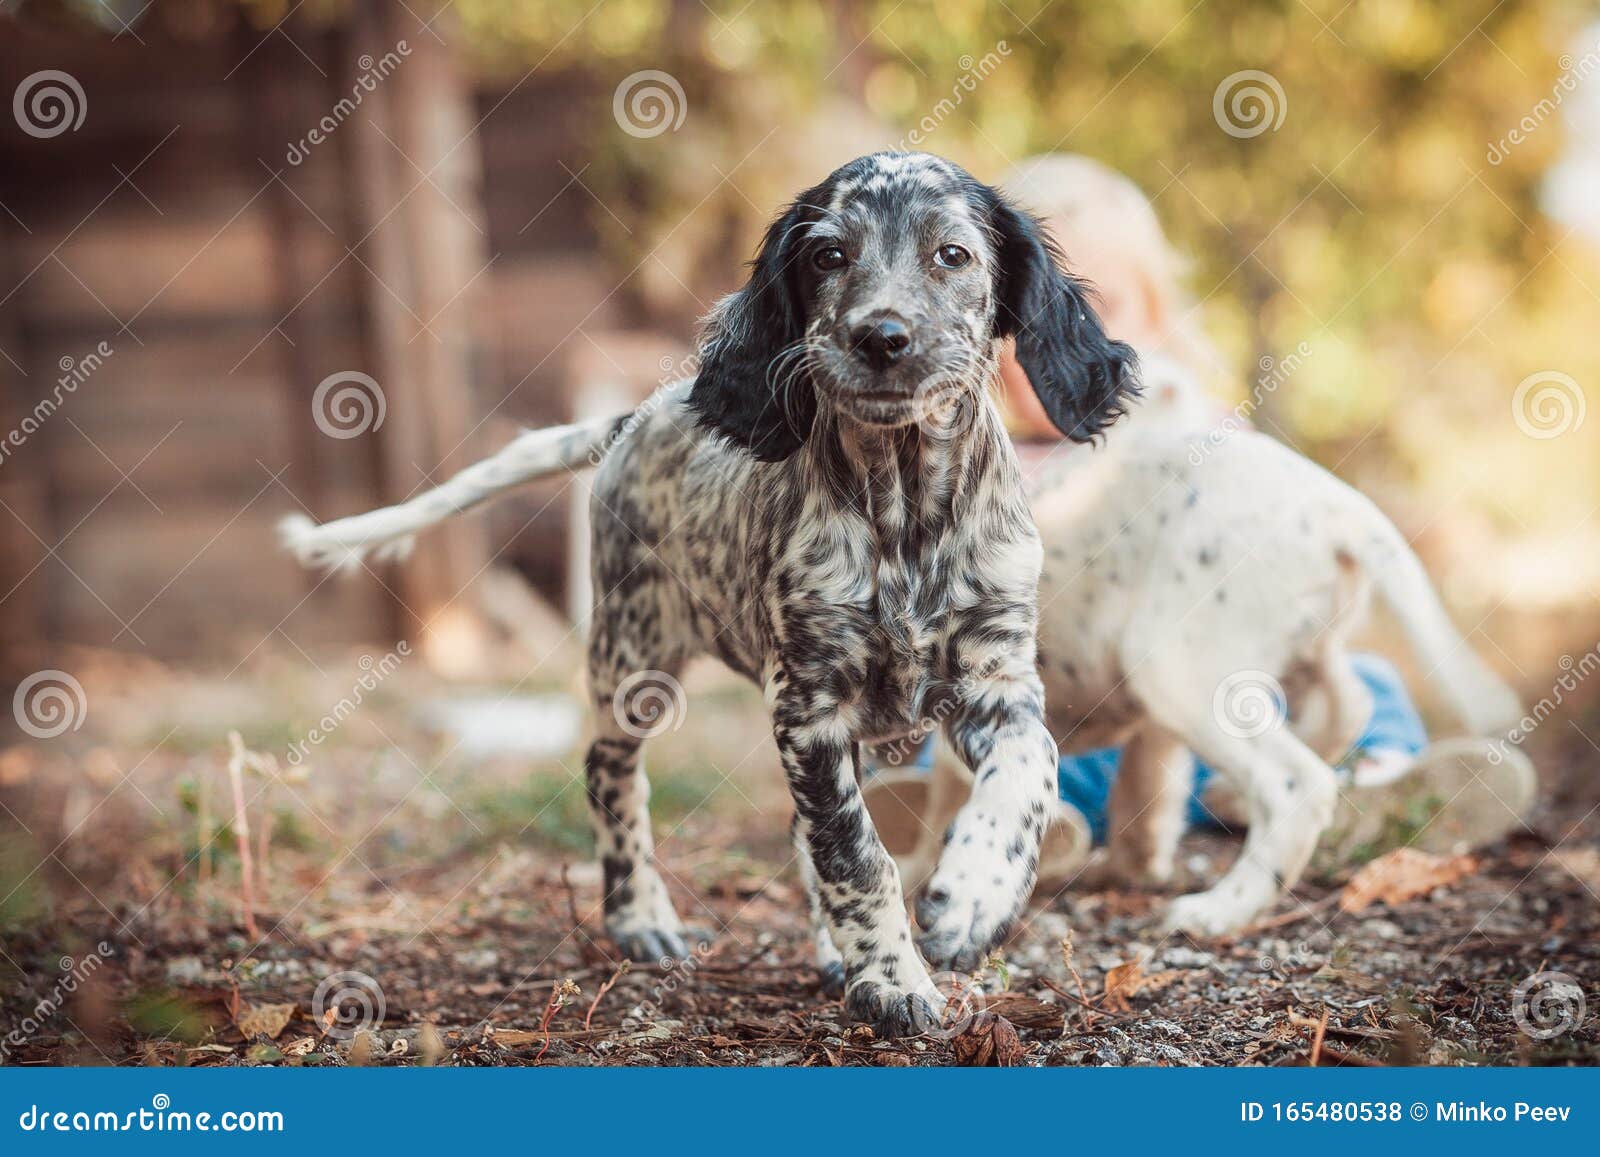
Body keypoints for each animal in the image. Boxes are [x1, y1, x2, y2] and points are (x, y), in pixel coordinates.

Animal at [281, 151, 1145, 1030]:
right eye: (828, 255)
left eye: (953, 255)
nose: (881, 337)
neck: (906, 512)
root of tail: (638, 417)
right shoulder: (808, 706)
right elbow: (856, 855)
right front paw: (893, 978)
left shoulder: (996, 681)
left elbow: (1029, 772)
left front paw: (972, 899)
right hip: (635, 657)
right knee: (612, 772)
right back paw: (641, 917)